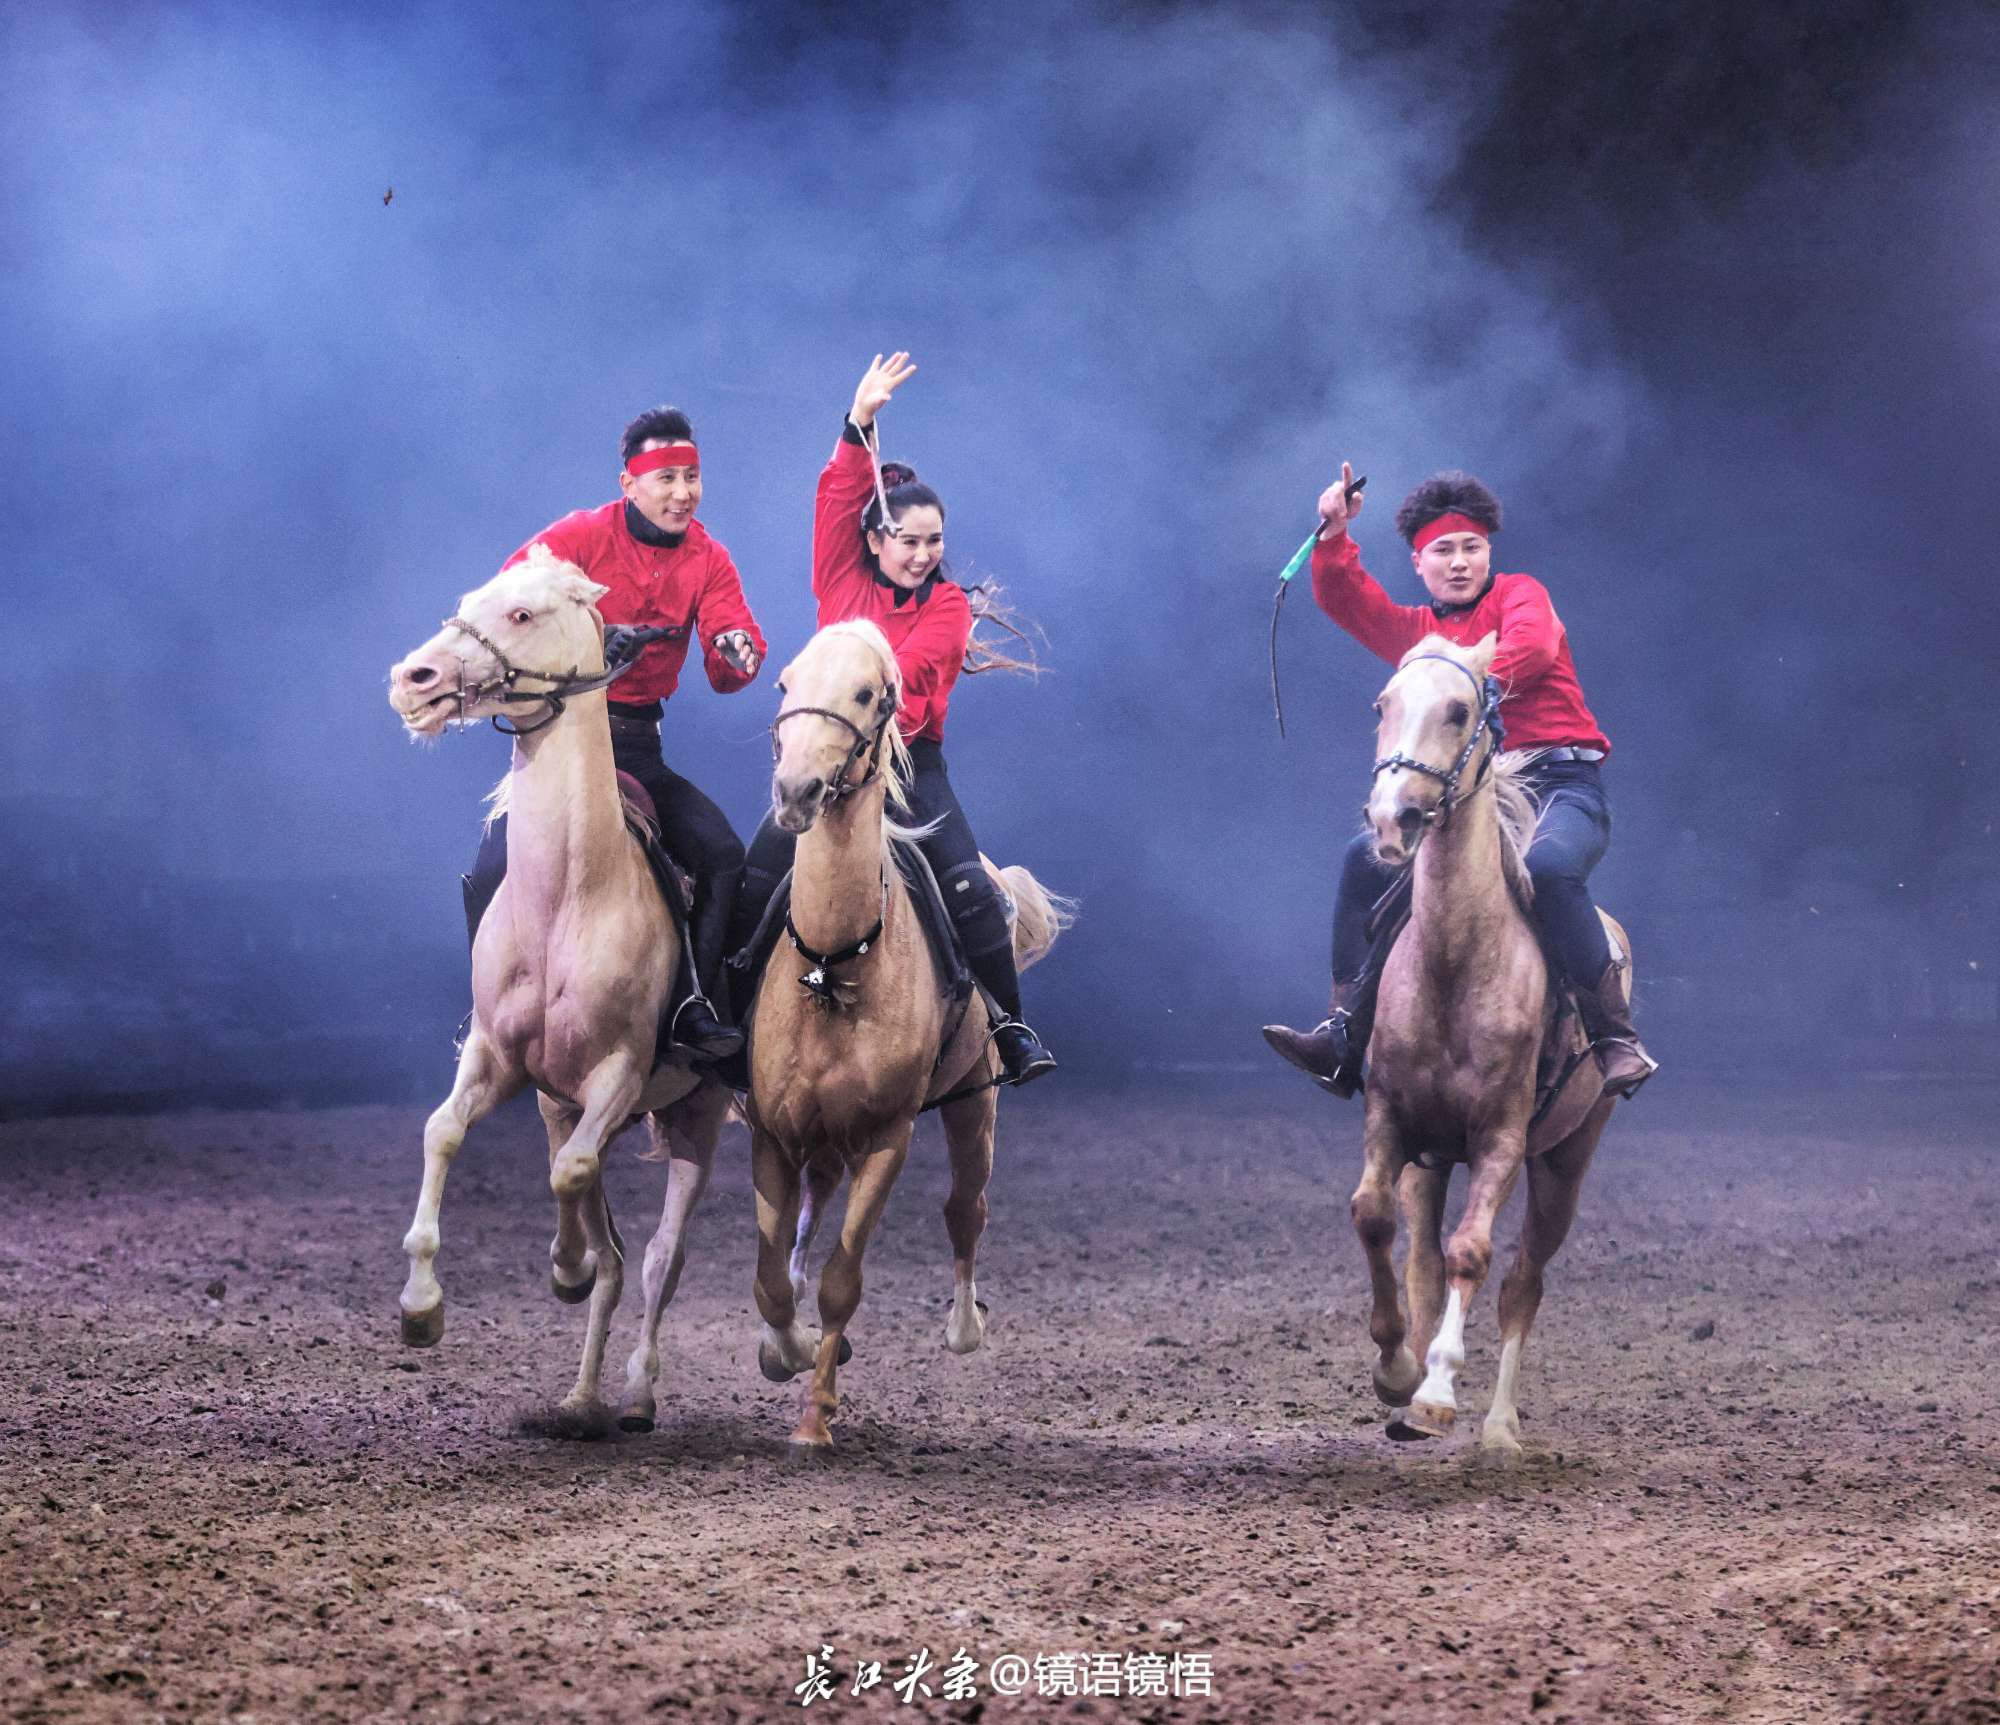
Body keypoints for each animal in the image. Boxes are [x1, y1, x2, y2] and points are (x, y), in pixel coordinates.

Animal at [385, 544, 731, 1430]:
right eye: (474, 596)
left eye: (523, 613)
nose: (413, 677)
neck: (569, 894)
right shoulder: (500, 1059)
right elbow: (443, 1132)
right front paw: (421, 1307)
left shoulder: (619, 1072)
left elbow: (569, 1179)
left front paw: (562, 1267)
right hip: (560, 1102)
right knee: (619, 1256)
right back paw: (580, 1399)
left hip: (694, 1114)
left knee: (659, 1257)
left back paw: (636, 1393)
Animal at [743, 620, 1070, 1450]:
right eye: (786, 683)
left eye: (868, 693)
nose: (795, 792)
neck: (833, 963)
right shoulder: (771, 1132)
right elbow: (771, 1277)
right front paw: (785, 1351)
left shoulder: (888, 1137)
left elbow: (842, 1281)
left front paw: (815, 1417)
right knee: (809, 1216)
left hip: (974, 1104)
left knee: (965, 1208)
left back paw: (964, 1327)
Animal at [1348, 632, 1630, 1458]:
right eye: (1383, 703)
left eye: (1458, 709)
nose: (1394, 816)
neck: (1455, 959)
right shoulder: (1391, 1119)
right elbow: (1375, 1217)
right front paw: (1396, 1368)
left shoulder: (1502, 1137)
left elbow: (1473, 1253)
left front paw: (1438, 1391)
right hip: (1434, 1161)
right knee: (1422, 1259)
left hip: (1565, 1161)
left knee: (1521, 1281)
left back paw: (1500, 1425)